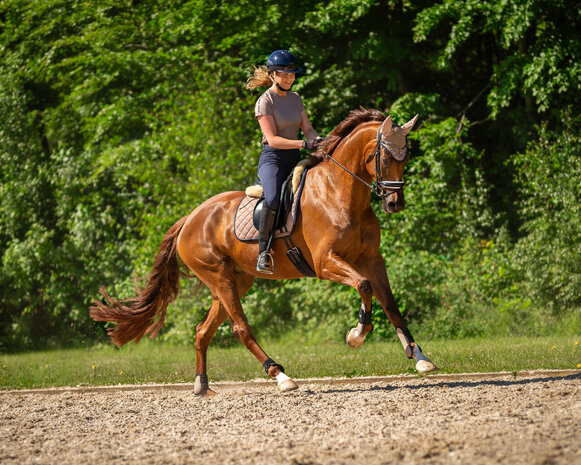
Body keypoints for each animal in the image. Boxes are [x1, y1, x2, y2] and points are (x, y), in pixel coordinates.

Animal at [89, 107, 436, 394]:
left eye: (405, 158)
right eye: (385, 158)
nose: (394, 203)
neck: (339, 192)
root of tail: (190, 218)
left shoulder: (373, 260)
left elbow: (390, 304)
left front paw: (418, 356)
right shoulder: (326, 263)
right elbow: (364, 287)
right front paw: (357, 334)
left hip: (234, 281)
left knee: (203, 331)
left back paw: (202, 386)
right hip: (220, 278)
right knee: (240, 328)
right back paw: (281, 376)